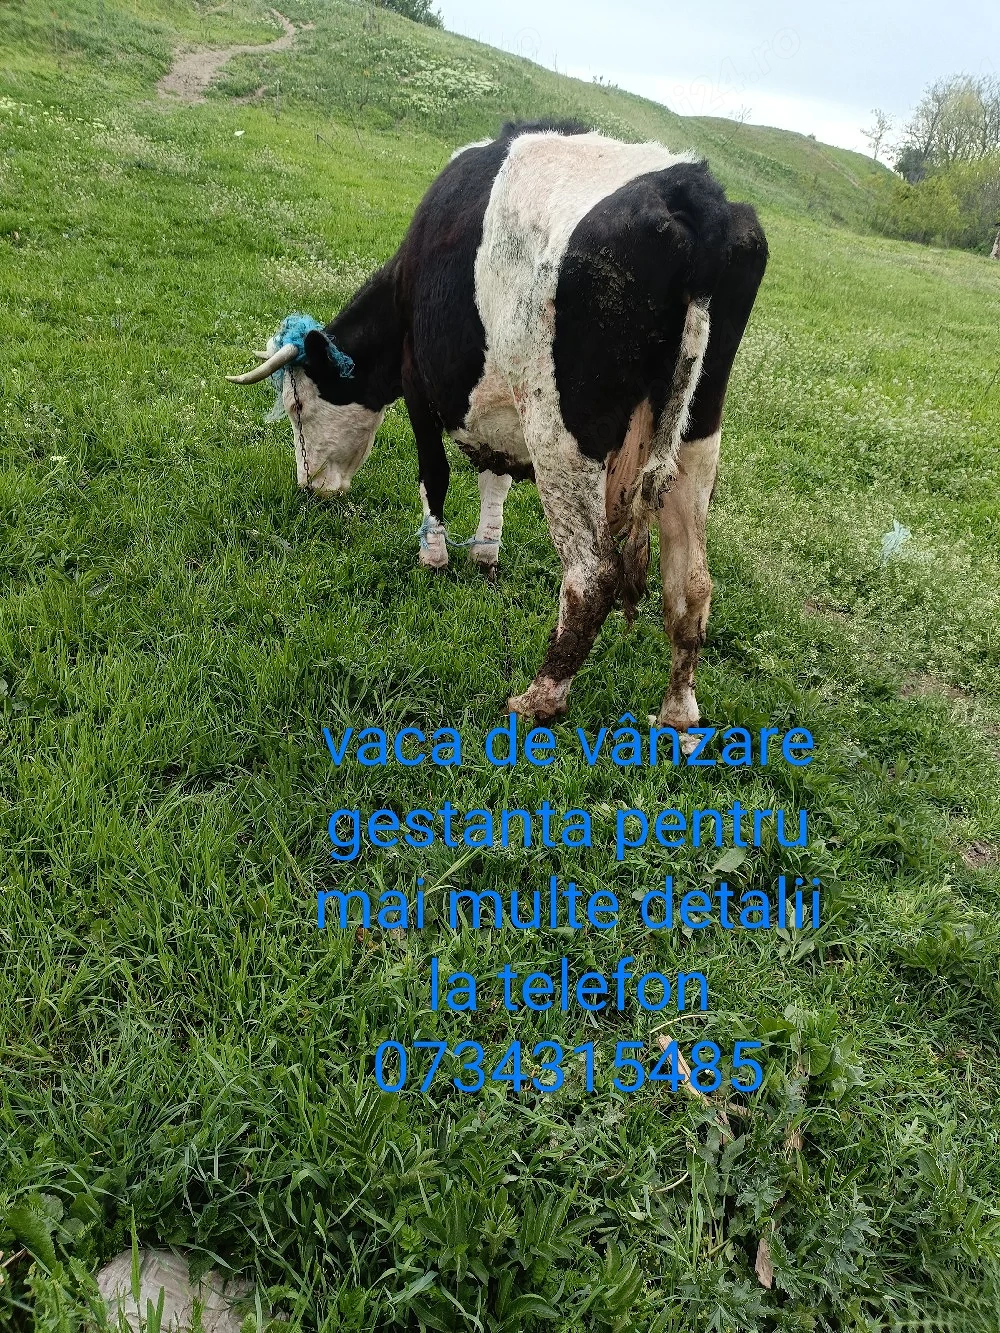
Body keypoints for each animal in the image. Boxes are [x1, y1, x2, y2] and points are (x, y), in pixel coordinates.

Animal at [227, 120, 768, 731]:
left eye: (297, 406)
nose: (309, 486)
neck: (407, 281)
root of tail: (692, 193)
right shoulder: (497, 411)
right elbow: (496, 480)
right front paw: (485, 556)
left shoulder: (420, 381)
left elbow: (434, 474)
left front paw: (434, 555)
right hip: (695, 436)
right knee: (691, 581)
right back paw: (677, 715)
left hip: (562, 436)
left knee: (592, 575)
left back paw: (539, 699)